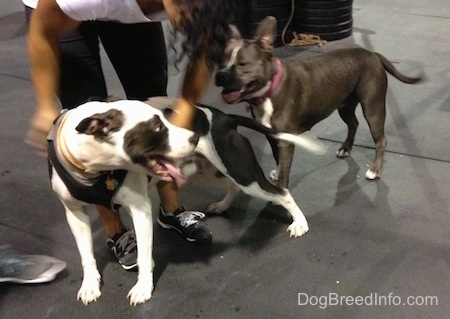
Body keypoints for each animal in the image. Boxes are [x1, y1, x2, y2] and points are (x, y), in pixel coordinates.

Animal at [47, 99, 199, 304]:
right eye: (158, 127)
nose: (195, 137)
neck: (96, 169)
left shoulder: (140, 209)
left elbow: (144, 256)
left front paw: (143, 288)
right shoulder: (74, 212)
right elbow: (86, 255)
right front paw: (89, 284)